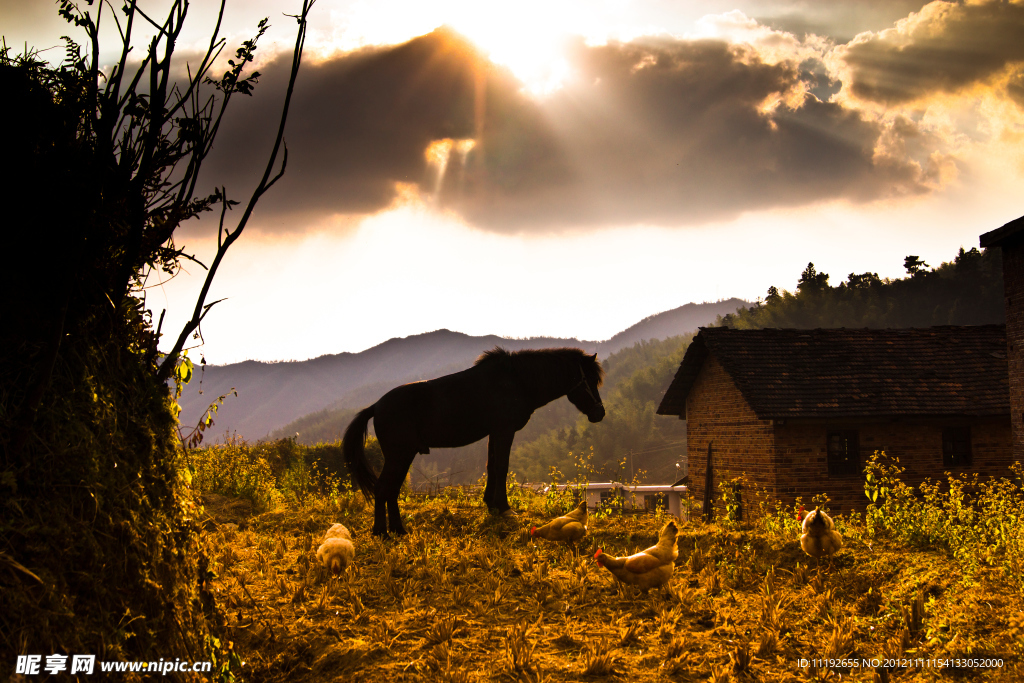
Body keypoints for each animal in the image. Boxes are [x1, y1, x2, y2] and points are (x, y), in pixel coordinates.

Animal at [344, 350, 602, 536]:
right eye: (589, 380)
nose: (600, 413)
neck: (517, 381)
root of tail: (376, 406)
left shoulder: (494, 433)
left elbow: (492, 467)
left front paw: (491, 505)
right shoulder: (504, 431)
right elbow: (501, 467)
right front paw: (505, 508)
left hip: (402, 456)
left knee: (392, 489)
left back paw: (398, 530)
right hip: (399, 455)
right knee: (383, 488)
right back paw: (382, 532)